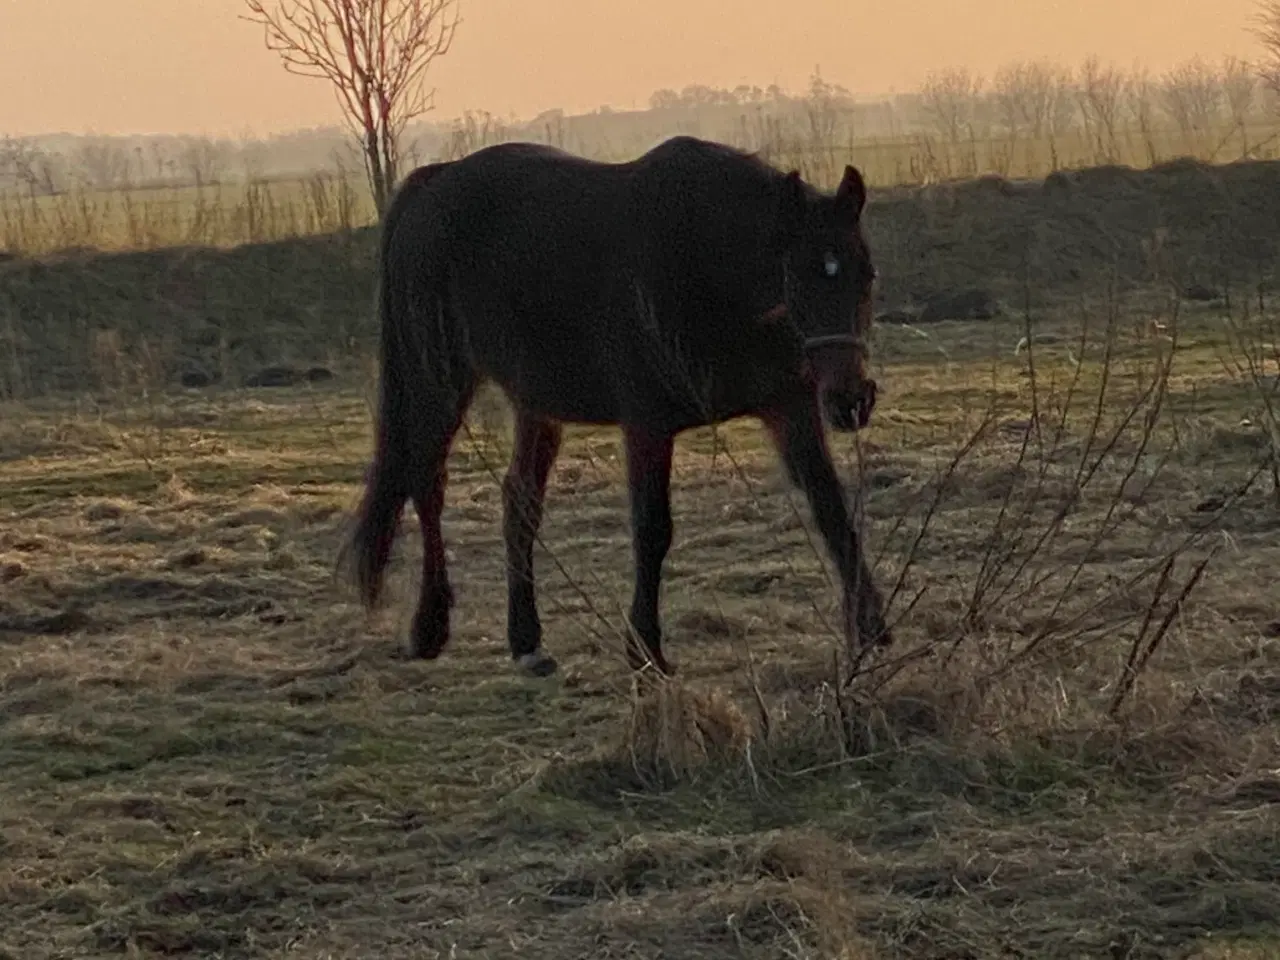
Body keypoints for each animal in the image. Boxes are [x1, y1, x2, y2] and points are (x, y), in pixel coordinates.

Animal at [345, 135, 896, 680]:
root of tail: (432, 182)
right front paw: (645, 648)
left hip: (536, 403)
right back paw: (429, 628)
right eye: (798, 277)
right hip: (440, 378)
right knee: (428, 485)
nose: (850, 399)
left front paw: (873, 631)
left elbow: (832, 511)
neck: (703, 263)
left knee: (519, 501)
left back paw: (527, 643)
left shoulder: (790, 407)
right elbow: (652, 530)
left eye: (866, 274)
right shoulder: (648, 425)